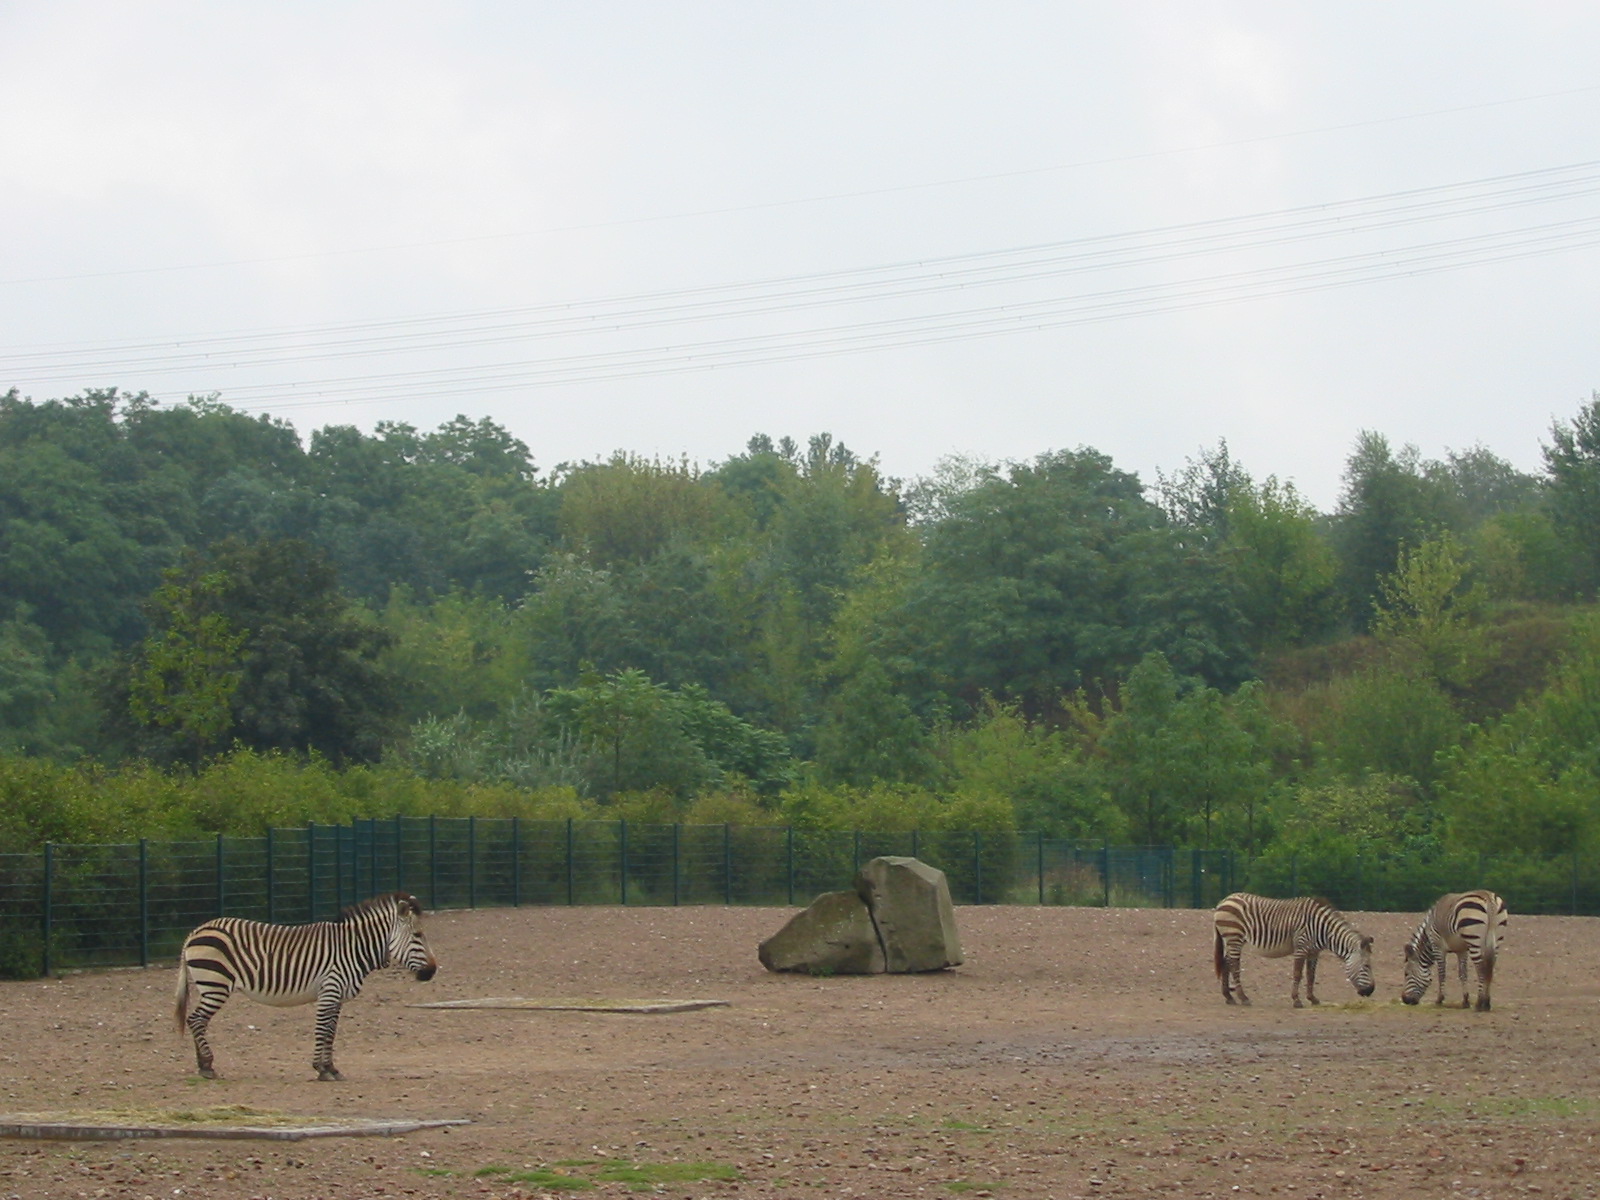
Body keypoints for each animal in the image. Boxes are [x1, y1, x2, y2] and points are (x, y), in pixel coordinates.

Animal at [174, 891, 438, 1081]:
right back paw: (207, 1066)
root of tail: (196, 931)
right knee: (196, 1020)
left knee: (197, 1021)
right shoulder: (329, 991)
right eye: (417, 935)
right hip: (215, 985)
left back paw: (202, 1064)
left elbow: (331, 1032)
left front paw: (331, 1068)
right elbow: (323, 1030)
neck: (353, 949)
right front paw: (322, 1069)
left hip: (210, 985)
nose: (432, 972)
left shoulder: (336, 998)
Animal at [1213, 892, 1375, 1008]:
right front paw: (1296, 1000)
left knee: (1226, 962)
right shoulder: (1301, 947)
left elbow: (1311, 975)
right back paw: (1243, 998)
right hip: (1234, 936)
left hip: (1230, 939)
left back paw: (1229, 997)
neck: (1323, 930)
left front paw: (1313, 999)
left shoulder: (1313, 952)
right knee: (1234, 965)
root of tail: (1224, 900)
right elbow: (1297, 974)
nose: (1371, 991)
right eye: (1367, 966)